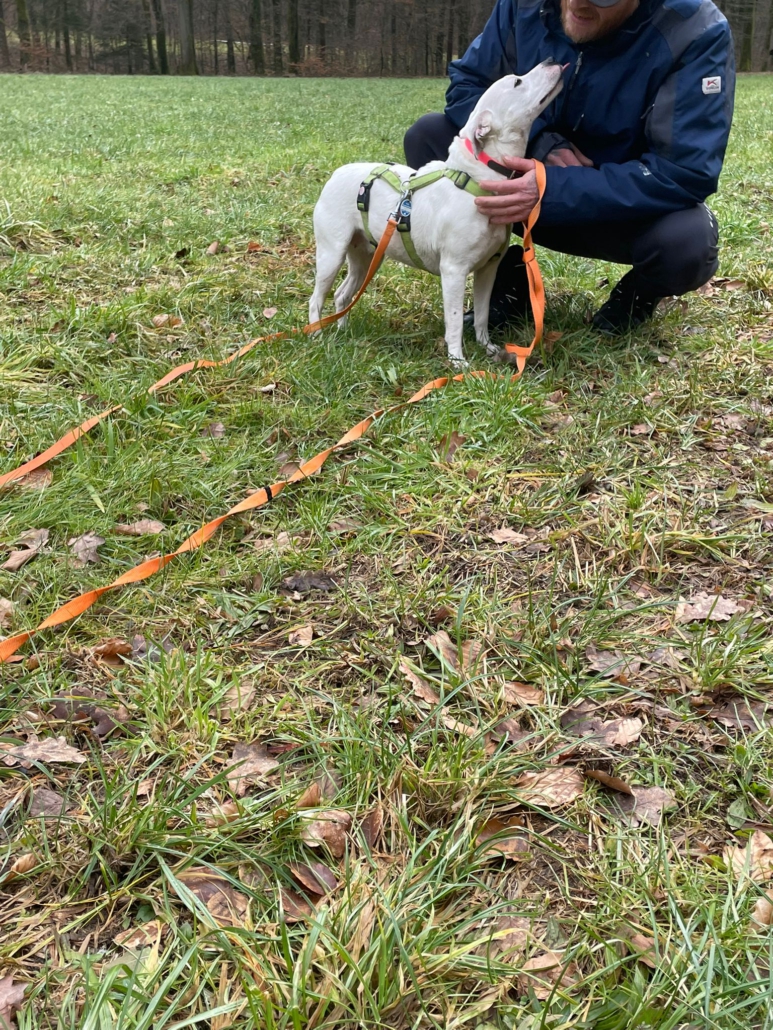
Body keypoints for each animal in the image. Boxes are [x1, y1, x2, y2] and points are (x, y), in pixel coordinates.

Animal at [309, 60, 564, 365]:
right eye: (517, 82)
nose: (551, 60)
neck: (476, 181)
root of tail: (336, 173)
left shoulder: (488, 268)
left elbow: (481, 315)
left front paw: (487, 348)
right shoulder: (453, 271)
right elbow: (453, 321)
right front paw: (458, 361)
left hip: (366, 255)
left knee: (342, 294)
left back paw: (342, 331)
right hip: (331, 253)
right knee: (316, 298)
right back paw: (318, 336)